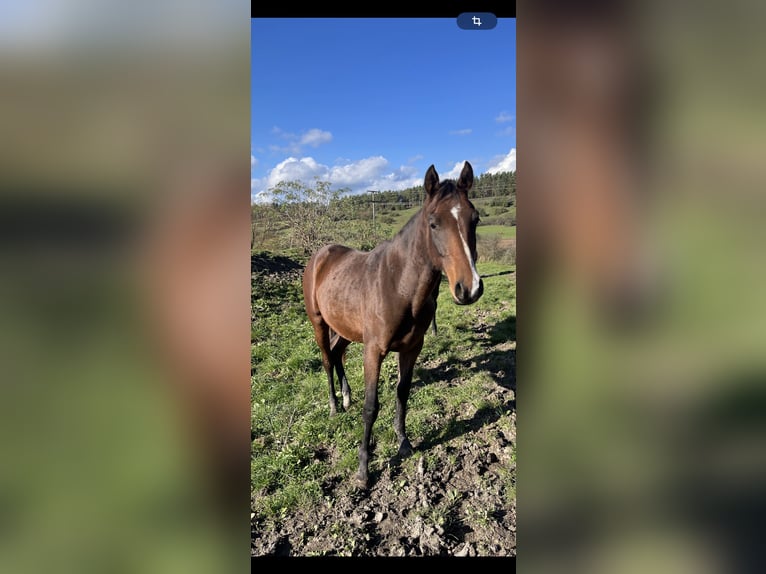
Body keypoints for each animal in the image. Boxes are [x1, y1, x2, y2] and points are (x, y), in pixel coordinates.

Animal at [304, 162, 484, 490]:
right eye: (433, 223)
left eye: (474, 218)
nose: (470, 288)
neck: (398, 285)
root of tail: (321, 255)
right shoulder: (373, 351)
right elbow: (371, 407)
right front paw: (363, 471)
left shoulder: (412, 348)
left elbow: (402, 393)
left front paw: (404, 443)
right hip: (319, 324)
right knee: (326, 358)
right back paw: (335, 406)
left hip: (346, 329)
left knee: (337, 354)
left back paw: (346, 397)